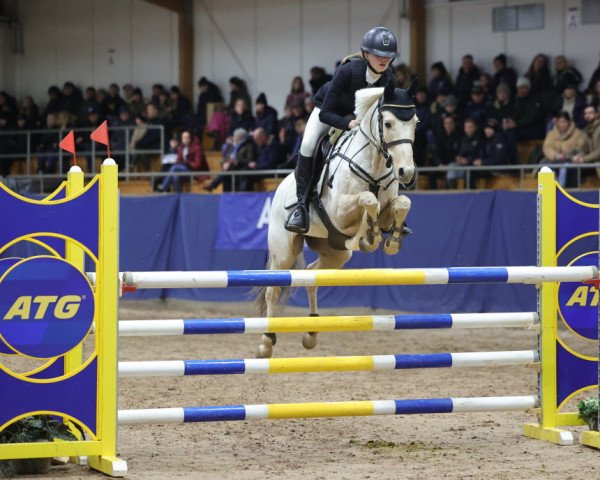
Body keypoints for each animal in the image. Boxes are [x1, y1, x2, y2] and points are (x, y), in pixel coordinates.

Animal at [253, 79, 418, 356]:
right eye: (387, 124)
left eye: (415, 122)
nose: (407, 172)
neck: (373, 164)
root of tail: (280, 187)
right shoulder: (340, 213)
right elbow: (368, 199)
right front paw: (370, 236)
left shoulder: (386, 209)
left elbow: (401, 203)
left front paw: (391, 239)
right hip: (284, 250)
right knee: (273, 290)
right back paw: (266, 342)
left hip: (336, 252)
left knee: (312, 276)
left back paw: (311, 333)